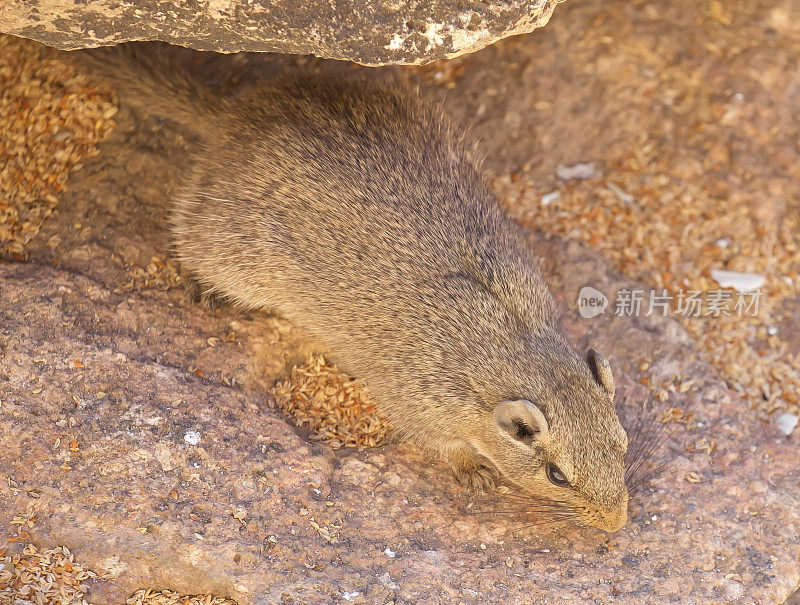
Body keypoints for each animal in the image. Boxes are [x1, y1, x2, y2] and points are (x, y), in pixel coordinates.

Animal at [78, 44, 628, 532]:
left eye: (623, 443)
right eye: (557, 475)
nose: (616, 524)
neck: (506, 350)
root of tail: (230, 116)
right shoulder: (418, 406)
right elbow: (447, 446)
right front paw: (474, 471)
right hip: (232, 254)